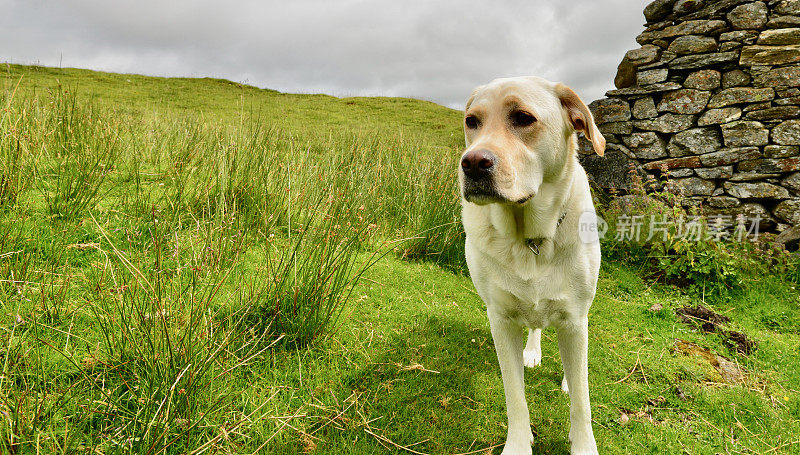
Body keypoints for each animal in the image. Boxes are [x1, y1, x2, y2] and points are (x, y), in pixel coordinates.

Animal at [460, 76, 604, 454]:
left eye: (523, 118)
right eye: (472, 122)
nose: (472, 162)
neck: (530, 238)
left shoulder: (574, 317)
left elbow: (582, 400)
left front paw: (583, 445)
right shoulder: (500, 319)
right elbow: (515, 397)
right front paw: (518, 445)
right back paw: (533, 351)